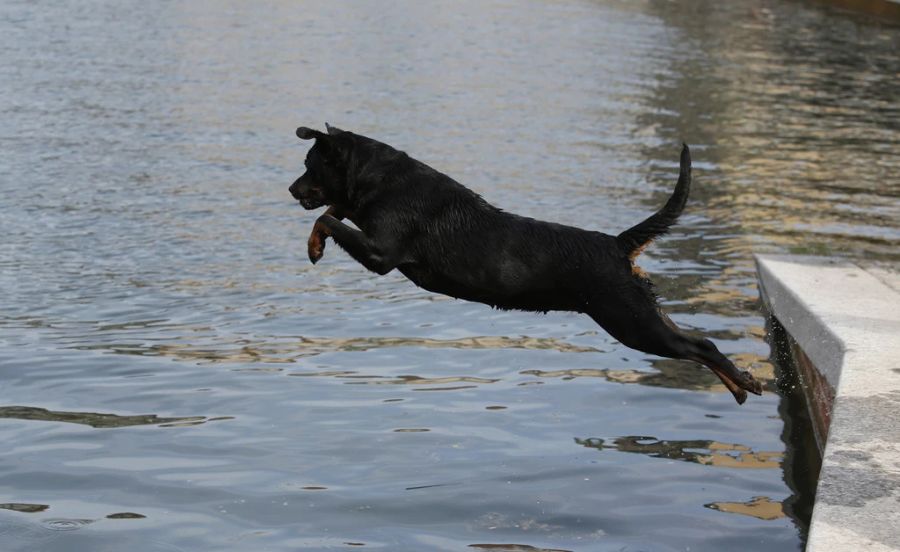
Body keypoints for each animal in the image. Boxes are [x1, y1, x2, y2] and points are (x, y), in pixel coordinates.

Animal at [288, 124, 760, 402]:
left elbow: (328, 216)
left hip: (631, 323)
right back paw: (737, 385)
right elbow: (335, 210)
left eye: (310, 165)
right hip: (641, 313)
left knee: (702, 347)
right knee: (696, 344)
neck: (382, 179)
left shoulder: (381, 253)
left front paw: (315, 244)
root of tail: (617, 245)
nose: (291, 189)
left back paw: (744, 382)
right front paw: (315, 242)